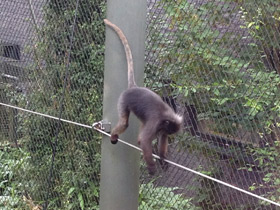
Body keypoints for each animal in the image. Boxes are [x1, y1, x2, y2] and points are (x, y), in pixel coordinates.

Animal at [104, 18, 183, 175]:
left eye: (168, 131)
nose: (163, 131)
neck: (166, 117)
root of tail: (134, 87)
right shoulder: (156, 122)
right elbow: (144, 141)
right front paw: (152, 167)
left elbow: (161, 140)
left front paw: (163, 159)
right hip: (123, 99)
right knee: (124, 123)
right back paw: (114, 135)